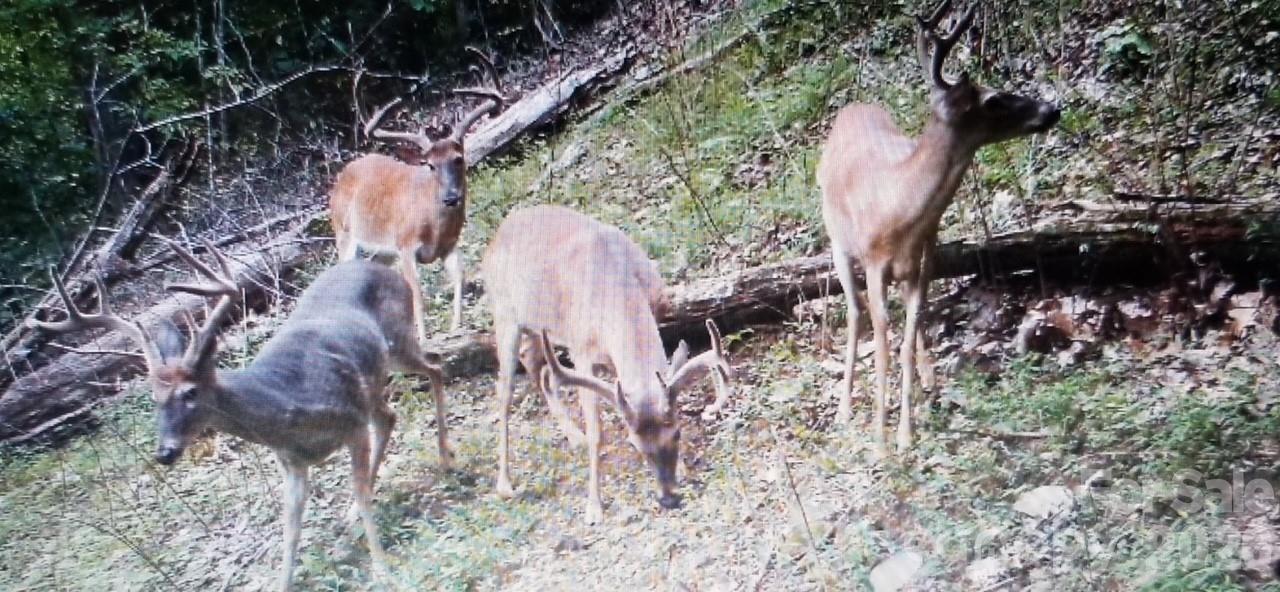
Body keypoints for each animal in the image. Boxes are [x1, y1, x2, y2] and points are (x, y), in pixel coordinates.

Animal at [27, 242, 453, 591]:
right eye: (154, 399)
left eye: (190, 393)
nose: (164, 452)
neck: (288, 408)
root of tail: (379, 265)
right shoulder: (292, 462)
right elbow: (290, 526)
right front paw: (284, 583)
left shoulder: (350, 423)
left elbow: (362, 493)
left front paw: (383, 569)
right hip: (375, 378)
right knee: (390, 414)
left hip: (398, 341)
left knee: (434, 366)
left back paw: (445, 455)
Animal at [329, 47, 506, 342]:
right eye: (430, 164)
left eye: (459, 158)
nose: (450, 198)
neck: (433, 225)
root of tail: (339, 179)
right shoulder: (405, 245)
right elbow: (417, 295)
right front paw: (424, 338)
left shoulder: (448, 246)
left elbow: (460, 278)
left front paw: (456, 327)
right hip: (344, 234)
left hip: (381, 251)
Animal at [482, 205, 734, 524]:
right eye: (634, 444)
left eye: (677, 433)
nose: (668, 499)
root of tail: (497, 234)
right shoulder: (581, 351)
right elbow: (597, 433)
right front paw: (594, 506)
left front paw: (685, 470)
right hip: (504, 315)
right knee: (504, 391)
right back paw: (505, 484)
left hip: (539, 325)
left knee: (538, 366)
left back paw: (573, 436)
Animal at [817, 0, 1060, 454]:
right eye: (993, 99)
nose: (1052, 109)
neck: (899, 206)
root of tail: (851, 109)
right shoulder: (873, 264)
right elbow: (880, 341)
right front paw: (880, 440)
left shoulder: (922, 262)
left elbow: (909, 336)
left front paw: (905, 434)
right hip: (837, 241)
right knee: (857, 314)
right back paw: (843, 409)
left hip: (916, 262)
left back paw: (927, 382)